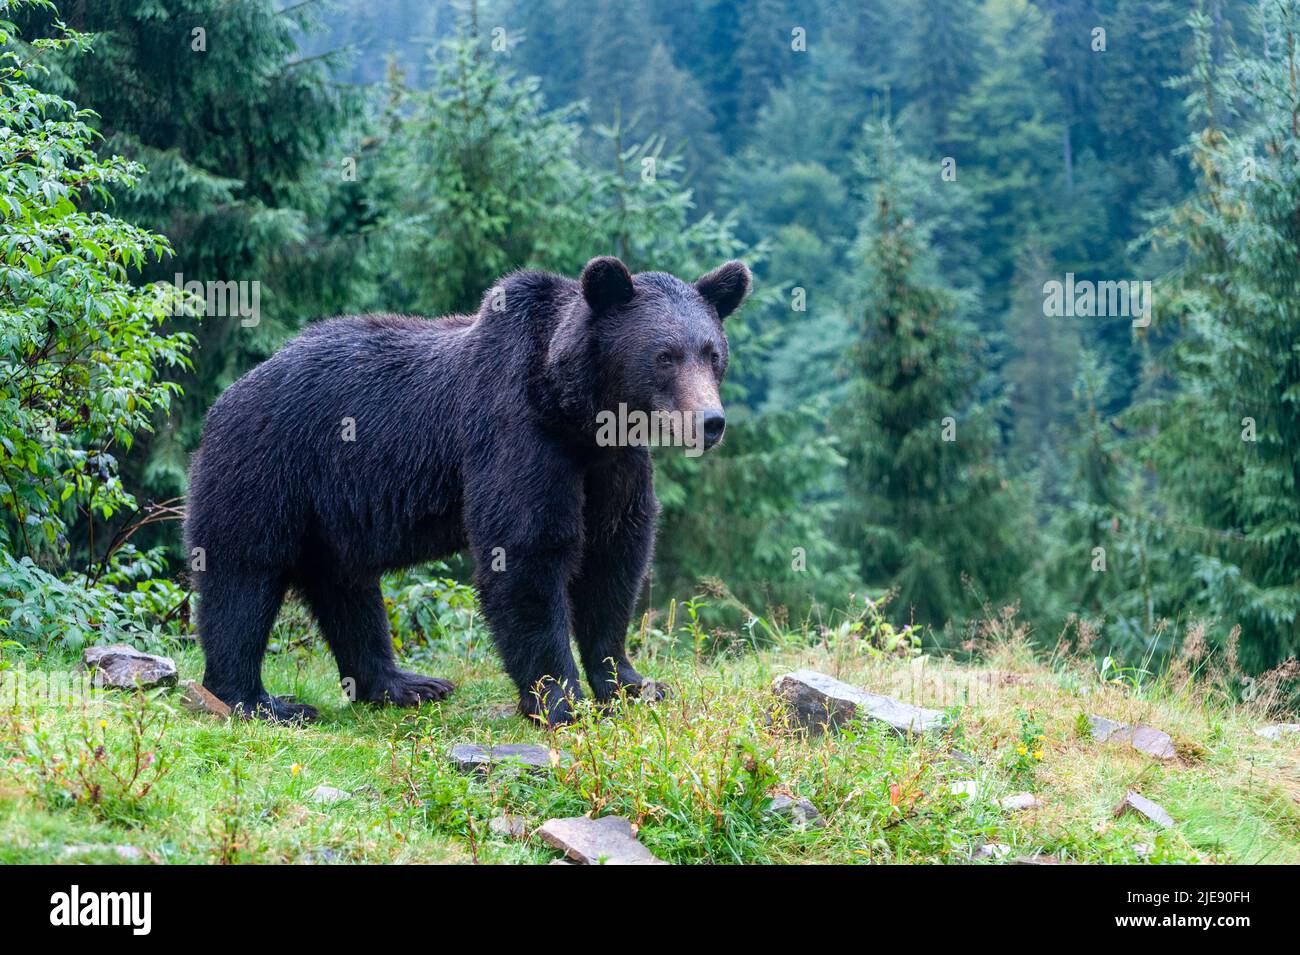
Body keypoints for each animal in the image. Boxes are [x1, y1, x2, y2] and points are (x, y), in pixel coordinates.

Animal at [184, 256, 750, 725]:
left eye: (712, 353)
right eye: (665, 355)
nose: (710, 422)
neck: (576, 412)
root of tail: (228, 396)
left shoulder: (614, 463)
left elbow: (613, 557)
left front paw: (633, 685)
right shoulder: (516, 431)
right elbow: (527, 550)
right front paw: (559, 700)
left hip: (331, 511)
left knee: (346, 588)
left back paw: (403, 684)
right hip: (266, 469)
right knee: (243, 577)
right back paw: (258, 700)